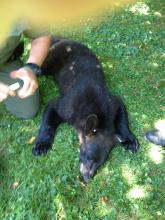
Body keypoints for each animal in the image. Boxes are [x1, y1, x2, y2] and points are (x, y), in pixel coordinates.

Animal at [31, 39, 138, 182]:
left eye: (101, 162)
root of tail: (63, 39)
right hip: (54, 56)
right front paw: (41, 146)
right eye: (90, 157)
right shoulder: (68, 106)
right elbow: (50, 113)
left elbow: (121, 115)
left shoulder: (111, 103)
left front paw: (130, 141)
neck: (94, 110)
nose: (88, 178)